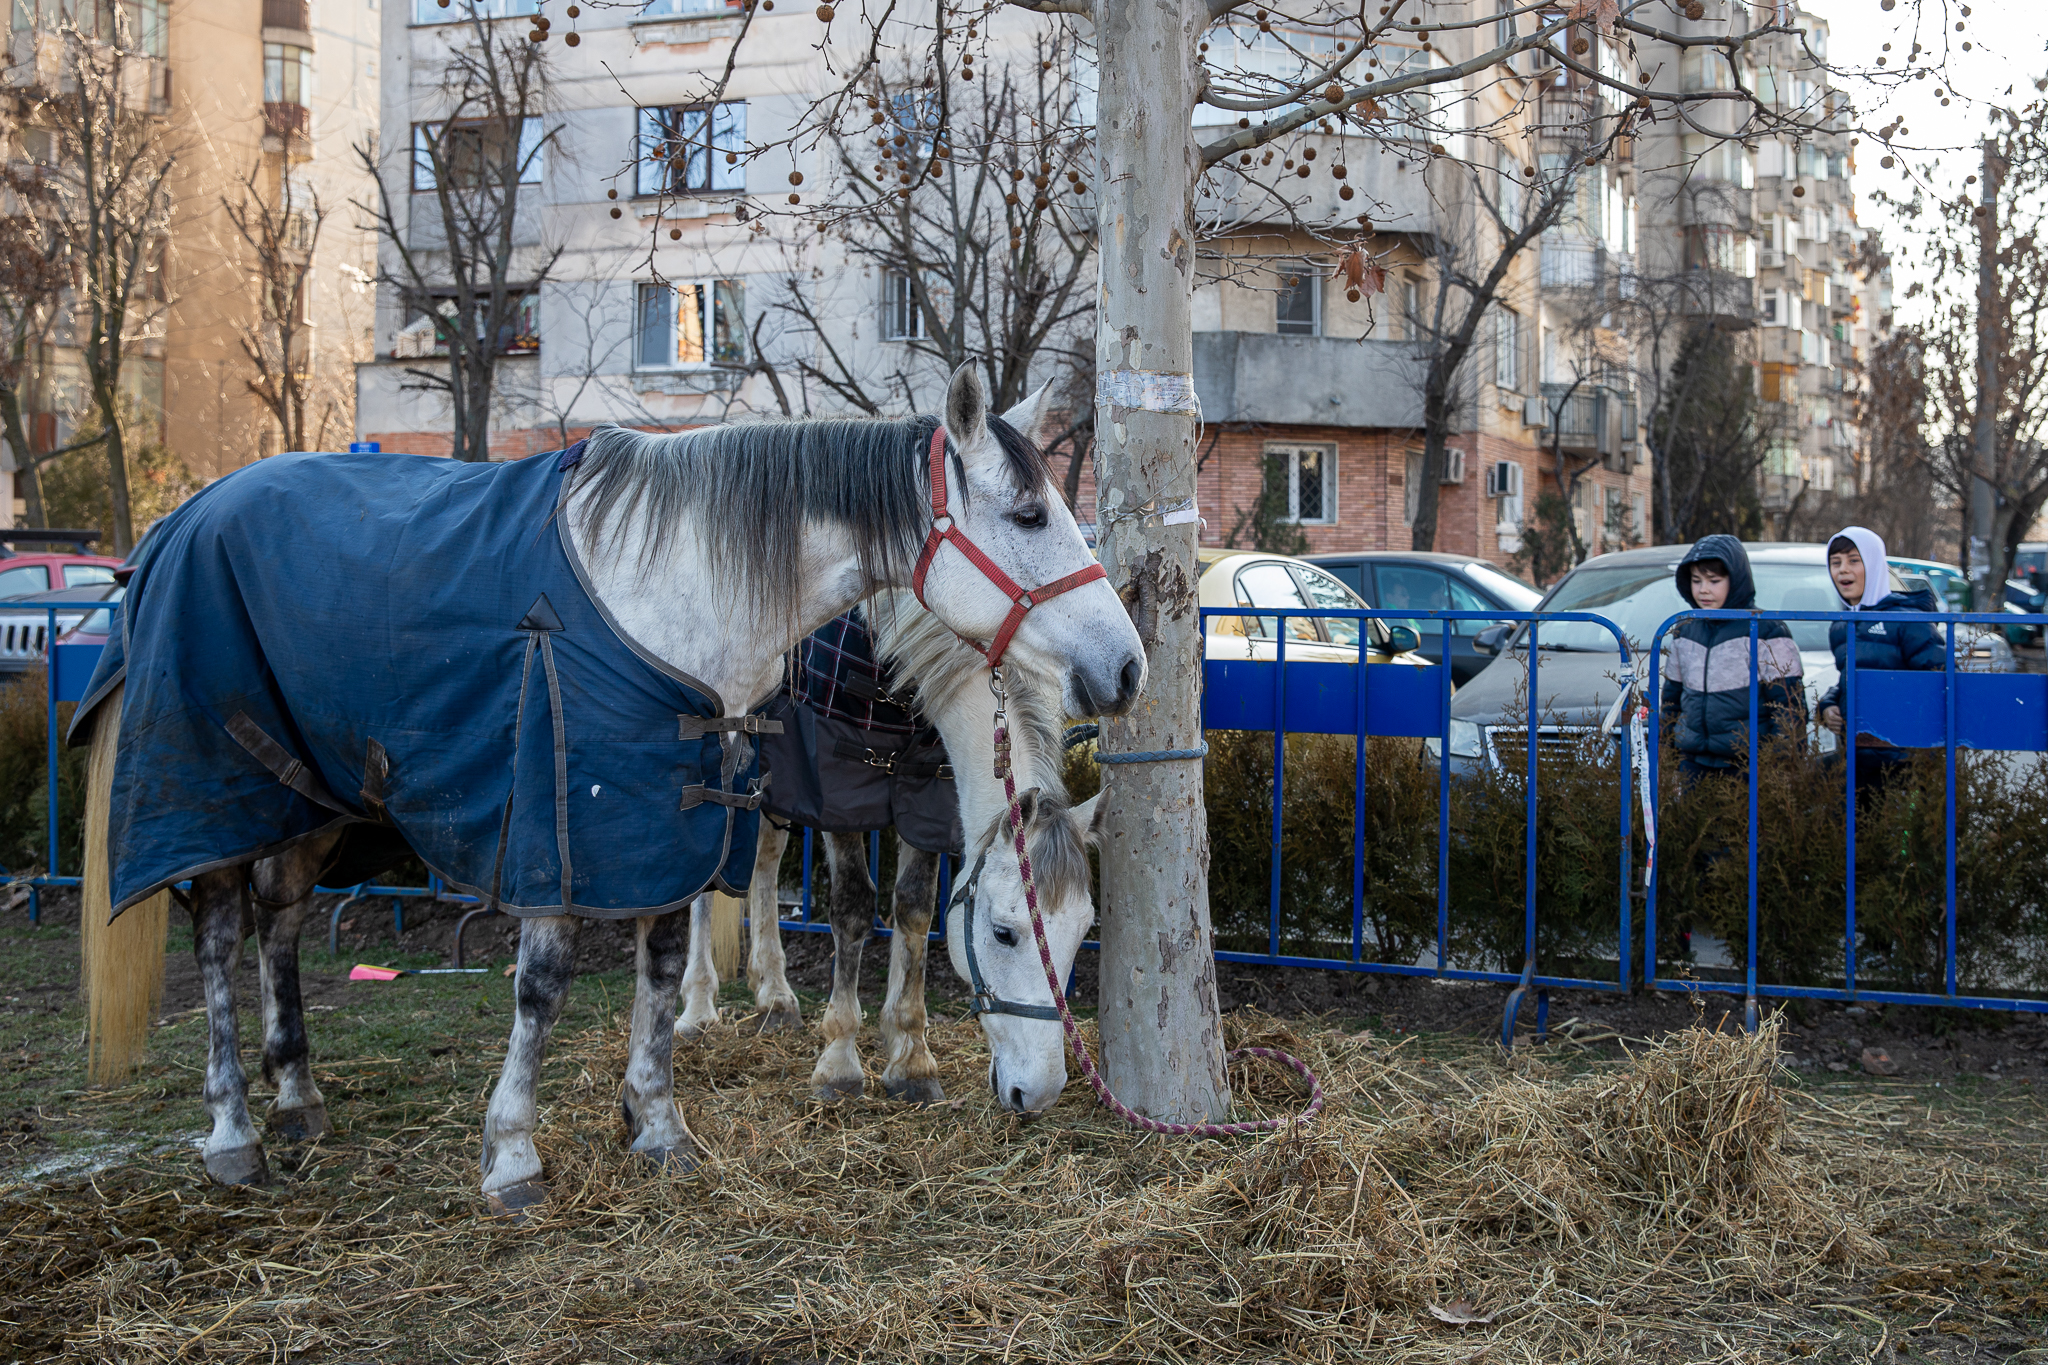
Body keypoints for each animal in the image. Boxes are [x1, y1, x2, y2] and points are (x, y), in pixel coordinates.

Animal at [678, 588, 1102, 1115]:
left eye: (1083, 932)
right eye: (1004, 934)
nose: (1041, 1092)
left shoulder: (926, 794)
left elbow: (915, 909)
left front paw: (911, 1058)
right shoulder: (838, 786)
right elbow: (854, 908)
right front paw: (839, 1063)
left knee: (766, 860)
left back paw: (773, 994)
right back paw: (697, 1008)